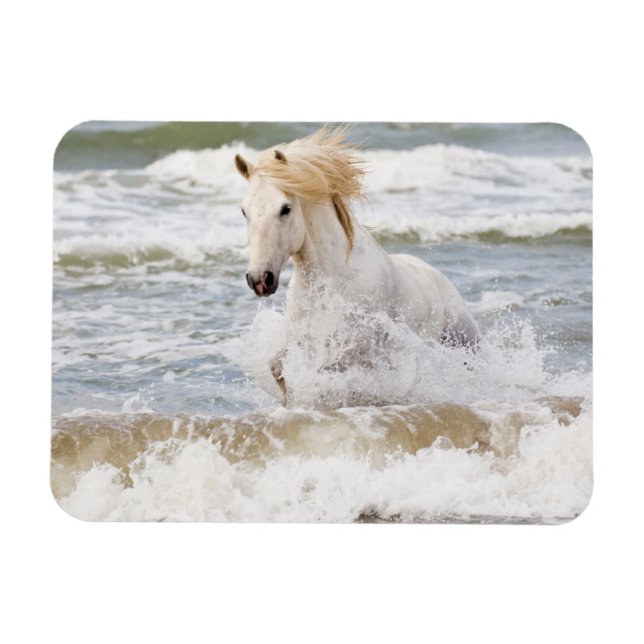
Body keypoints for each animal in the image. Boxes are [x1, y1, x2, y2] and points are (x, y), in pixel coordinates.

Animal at [234, 127, 479, 404]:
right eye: (244, 211)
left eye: (285, 209)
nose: (259, 279)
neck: (333, 278)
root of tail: (437, 276)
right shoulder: (302, 335)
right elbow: (277, 367)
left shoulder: (360, 347)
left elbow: (326, 372)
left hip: (464, 343)